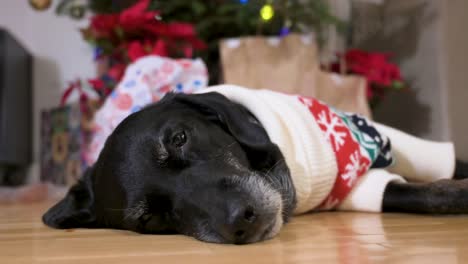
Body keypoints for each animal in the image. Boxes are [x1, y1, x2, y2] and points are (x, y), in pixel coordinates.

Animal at [43, 92, 468, 244]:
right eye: (149, 219)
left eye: (179, 138)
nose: (241, 220)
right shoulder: (354, 190)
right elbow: (421, 193)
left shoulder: (380, 136)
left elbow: (440, 166)